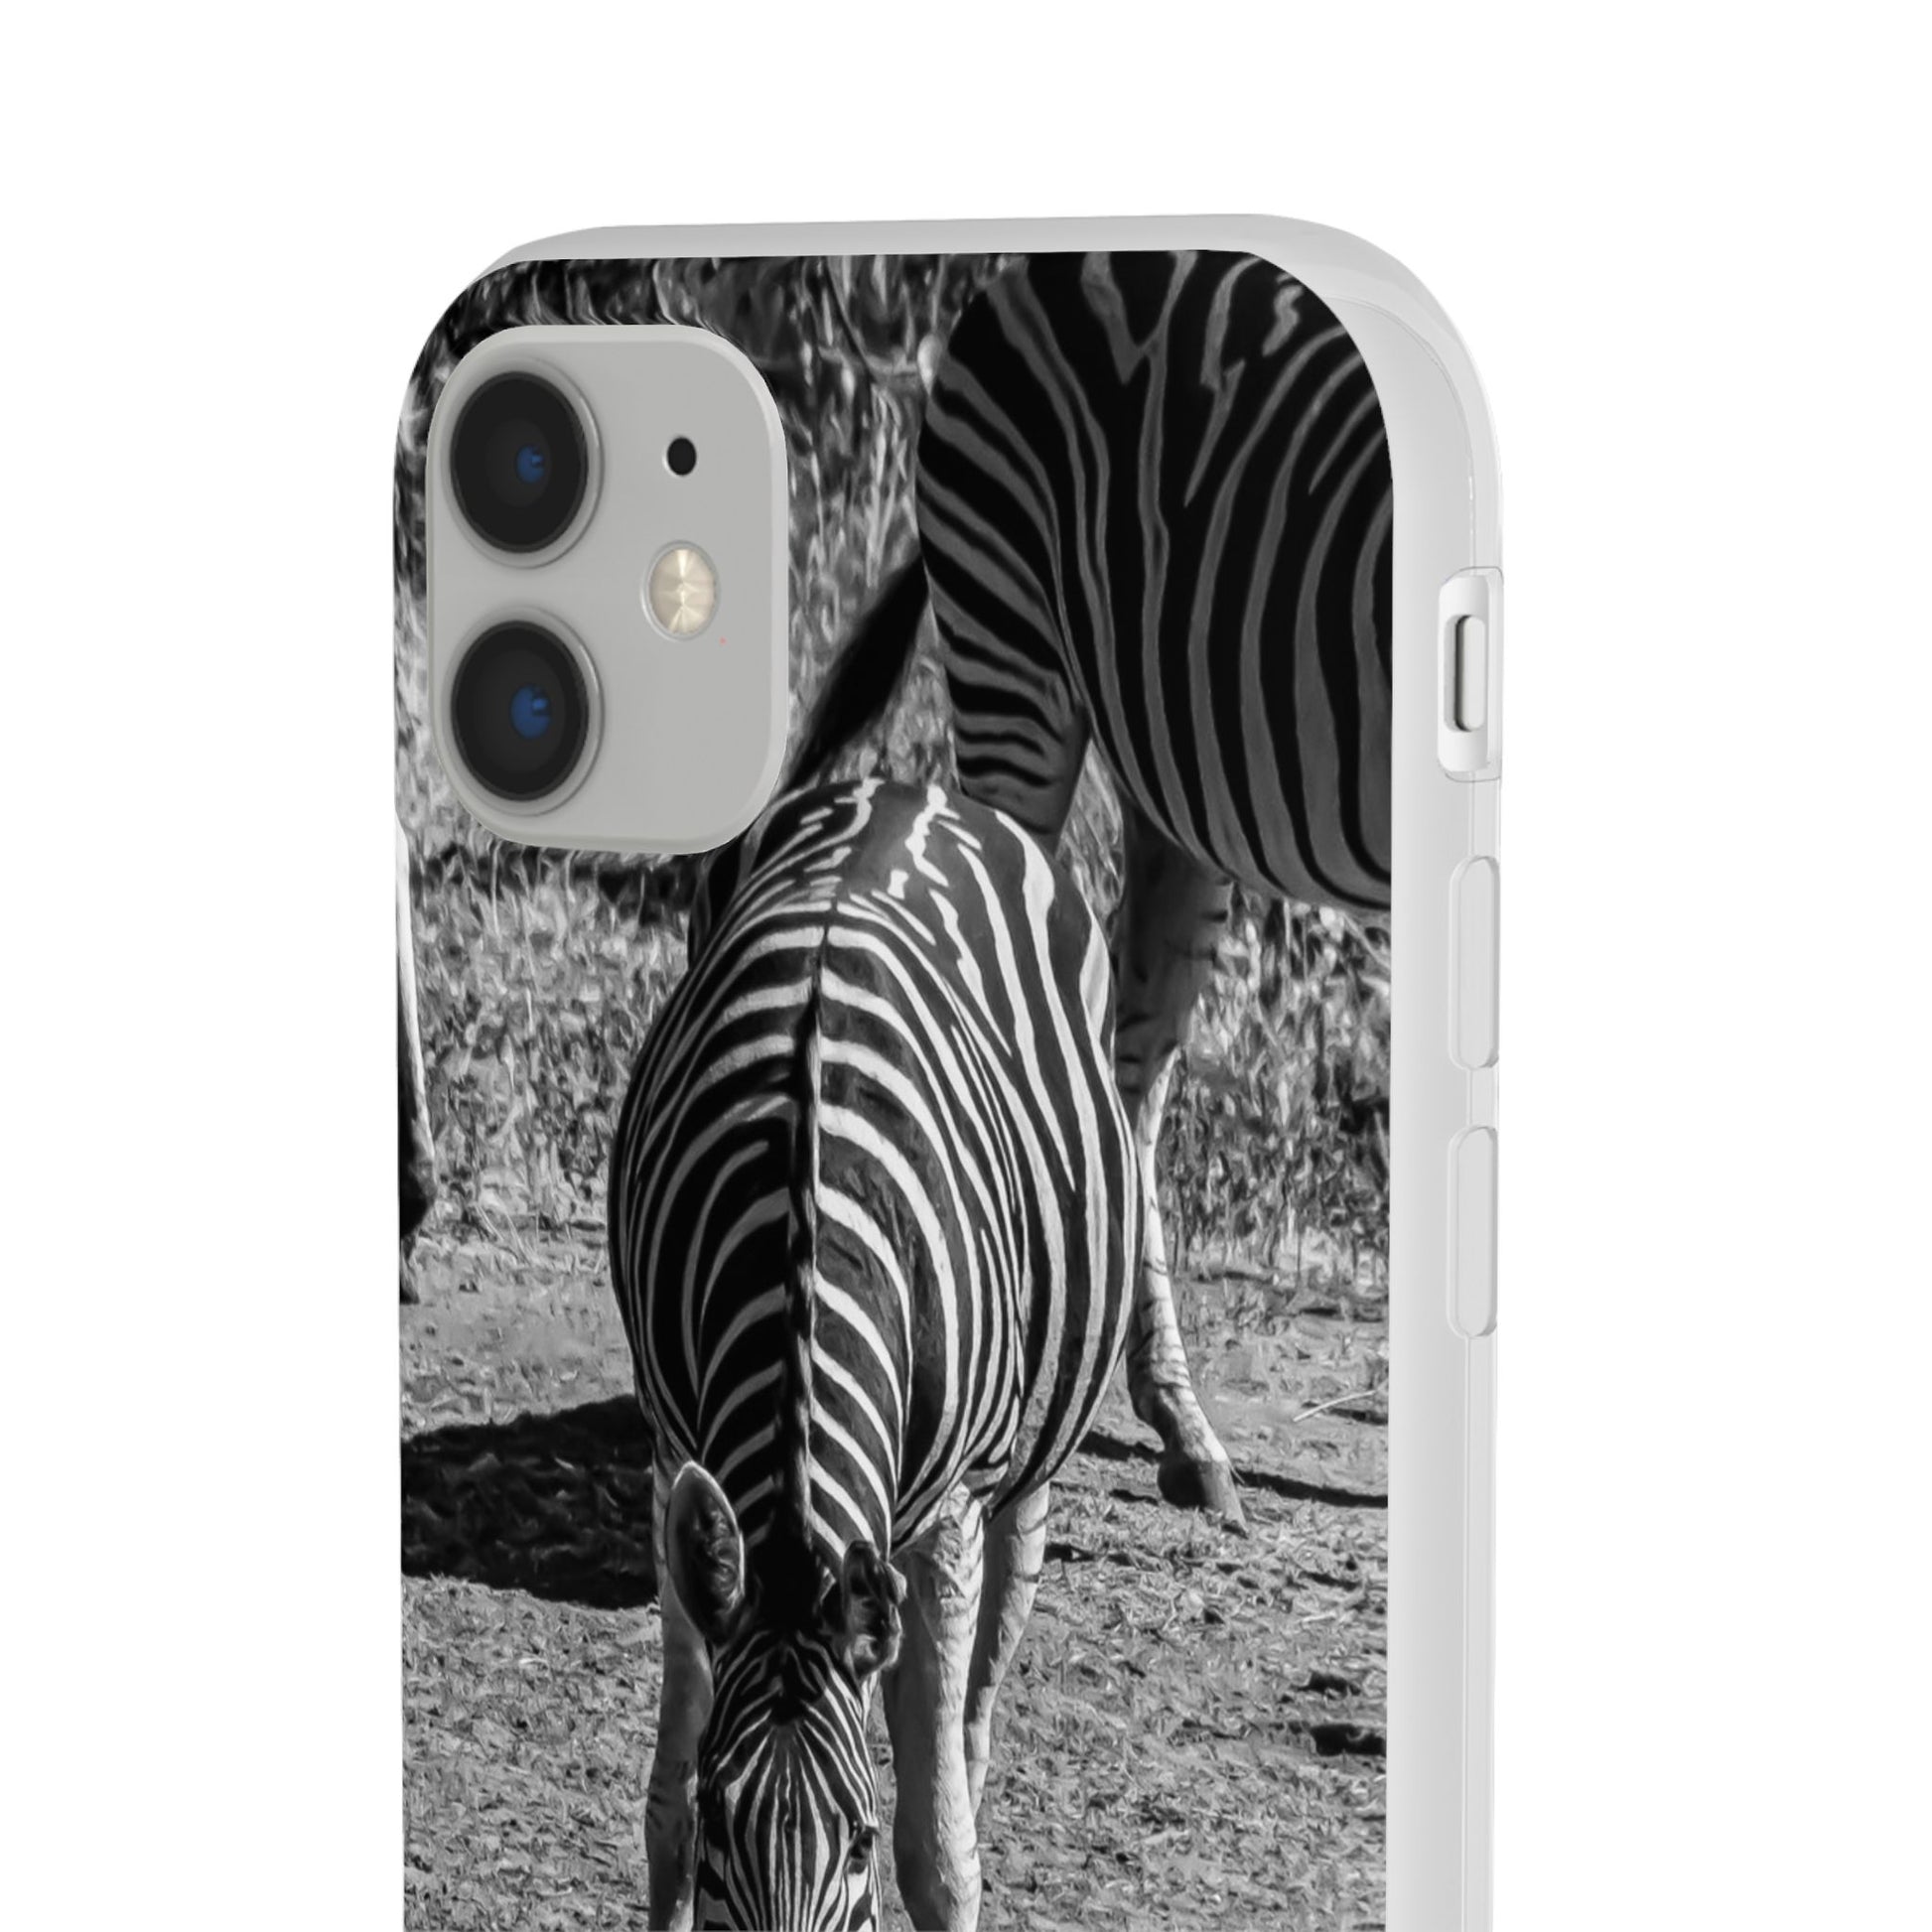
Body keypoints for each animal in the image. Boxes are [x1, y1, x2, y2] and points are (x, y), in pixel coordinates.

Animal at [609, 776, 1138, 1931]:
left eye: (852, 1844)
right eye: (724, 1830)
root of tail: (909, 786)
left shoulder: (945, 1518)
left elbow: (938, 1853)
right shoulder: (673, 1453)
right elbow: (663, 1801)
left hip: (1021, 1458)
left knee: (979, 1677)